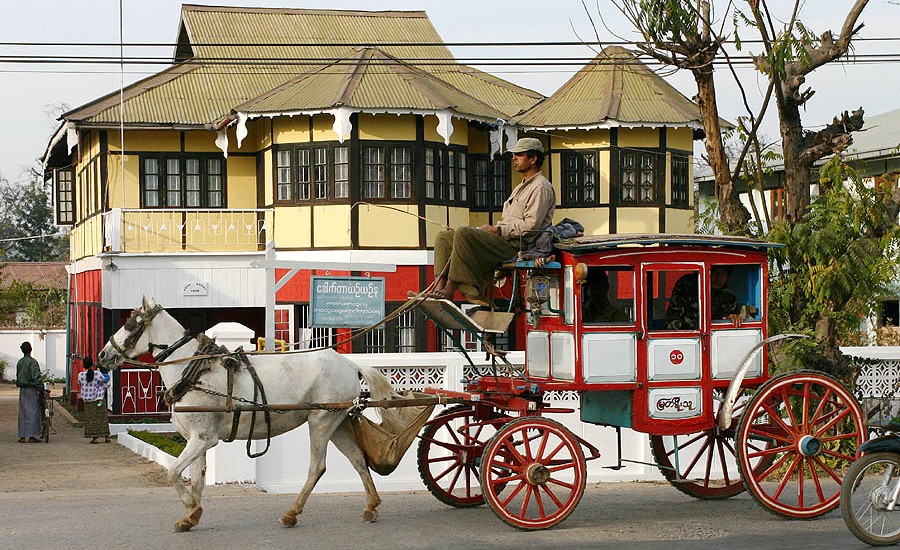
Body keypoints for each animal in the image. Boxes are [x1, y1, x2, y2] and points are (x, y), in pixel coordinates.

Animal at [98, 300, 394, 532]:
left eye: (130, 324)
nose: (103, 354)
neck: (192, 372)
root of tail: (349, 364)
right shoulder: (197, 439)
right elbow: (196, 479)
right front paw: (191, 516)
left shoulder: (203, 439)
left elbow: (173, 473)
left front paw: (192, 509)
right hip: (337, 420)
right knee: (357, 459)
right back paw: (371, 506)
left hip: (320, 421)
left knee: (317, 467)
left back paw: (291, 513)